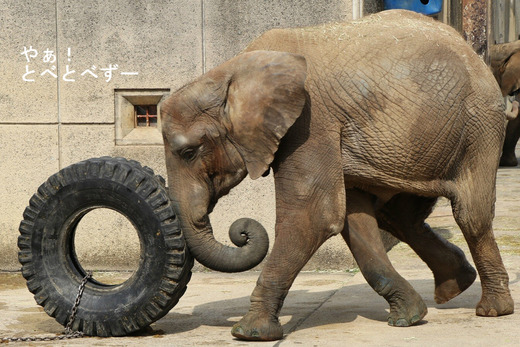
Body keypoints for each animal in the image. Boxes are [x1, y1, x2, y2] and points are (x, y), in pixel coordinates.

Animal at [160, 9, 512, 342]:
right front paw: (409, 317)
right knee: (398, 217)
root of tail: (472, 51)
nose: (241, 232)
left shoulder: (311, 121)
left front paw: (249, 333)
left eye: (188, 152)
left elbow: (315, 215)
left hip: (479, 126)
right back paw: (454, 287)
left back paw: (493, 310)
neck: (229, 73)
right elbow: (352, 219)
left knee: (470, 216)